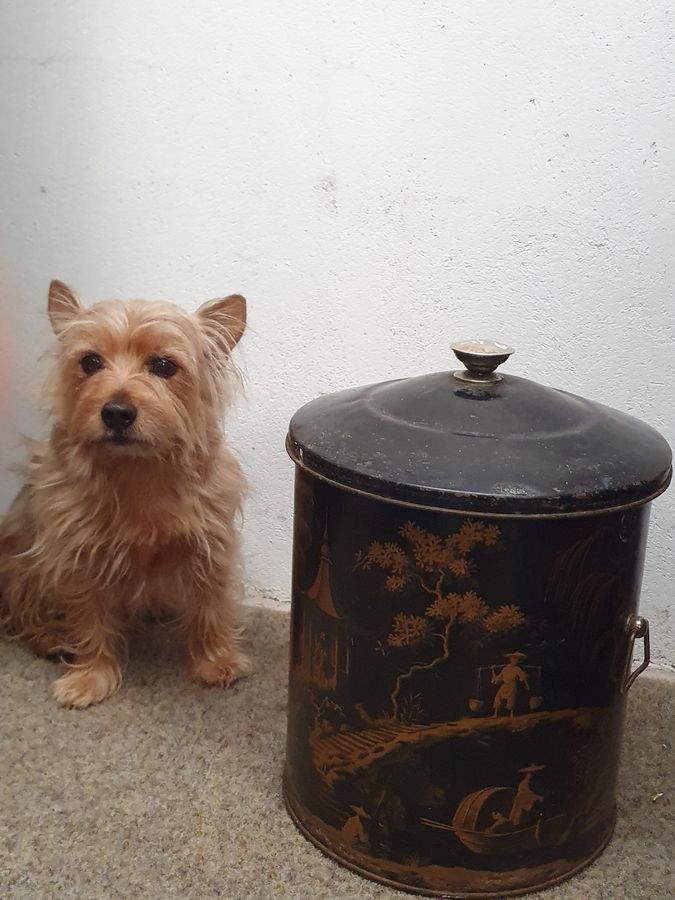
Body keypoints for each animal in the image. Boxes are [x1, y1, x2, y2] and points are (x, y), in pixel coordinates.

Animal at [0, 278, 251, 708]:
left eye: (164, 366)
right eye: (90, 362)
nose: (116, 412)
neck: (137, 468)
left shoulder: (211, 544)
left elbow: (210, 605)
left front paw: (215, 662)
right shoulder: (76, 555)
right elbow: (89, 619)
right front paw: (90, 675)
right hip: (19, 563)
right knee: (22, 611)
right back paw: (49, 636)